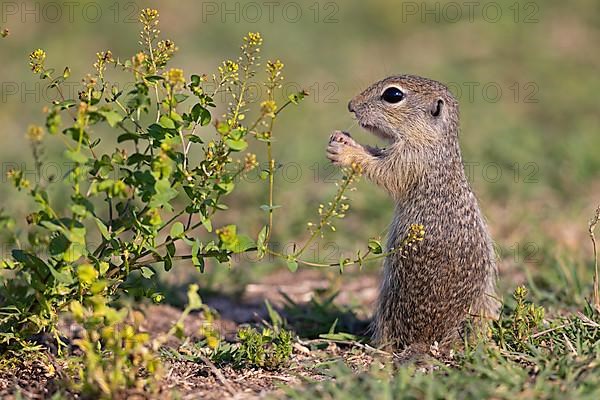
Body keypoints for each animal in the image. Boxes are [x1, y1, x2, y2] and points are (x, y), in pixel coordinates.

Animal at [326, 75, 500, 360]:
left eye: (393, 95)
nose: (351, 105)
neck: (434, 142)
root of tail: (430, 339)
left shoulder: (411, 160)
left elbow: (384, 171)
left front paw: (346, 153)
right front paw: (344, 139)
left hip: (389, 300)